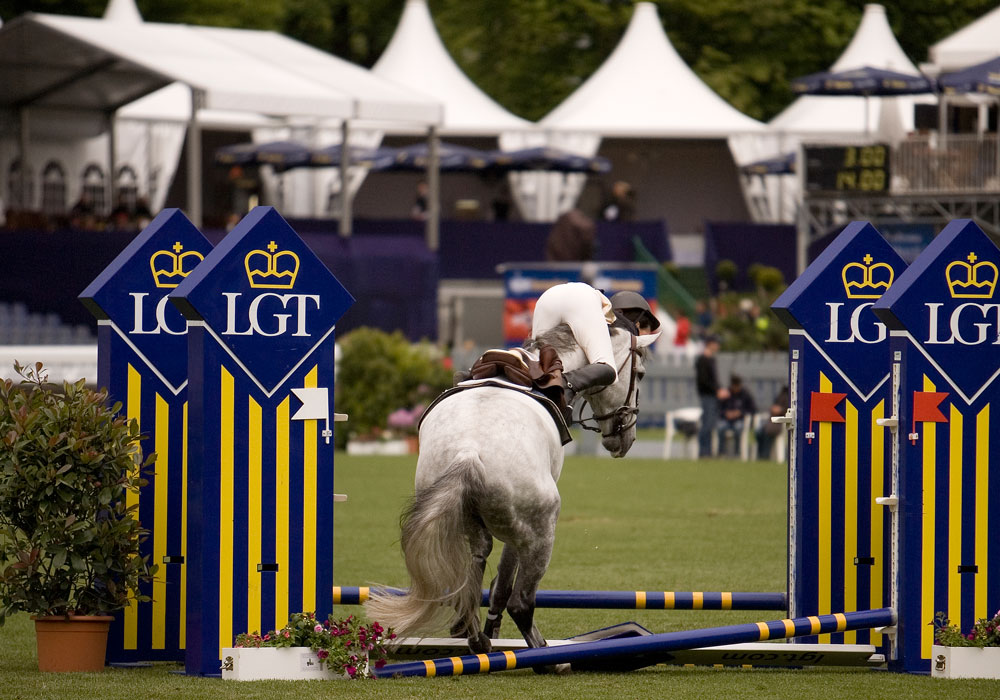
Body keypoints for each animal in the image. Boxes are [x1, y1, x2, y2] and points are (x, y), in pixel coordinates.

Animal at [368, 322, 656, 660]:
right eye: (640, 374)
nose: (625, 439)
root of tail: (468, 453)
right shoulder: (520, 534)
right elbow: (505, 583)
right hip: (540, 531)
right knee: (521, 602)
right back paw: (547, 658)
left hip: (468, 521)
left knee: (471, 576)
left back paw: (476, 638)